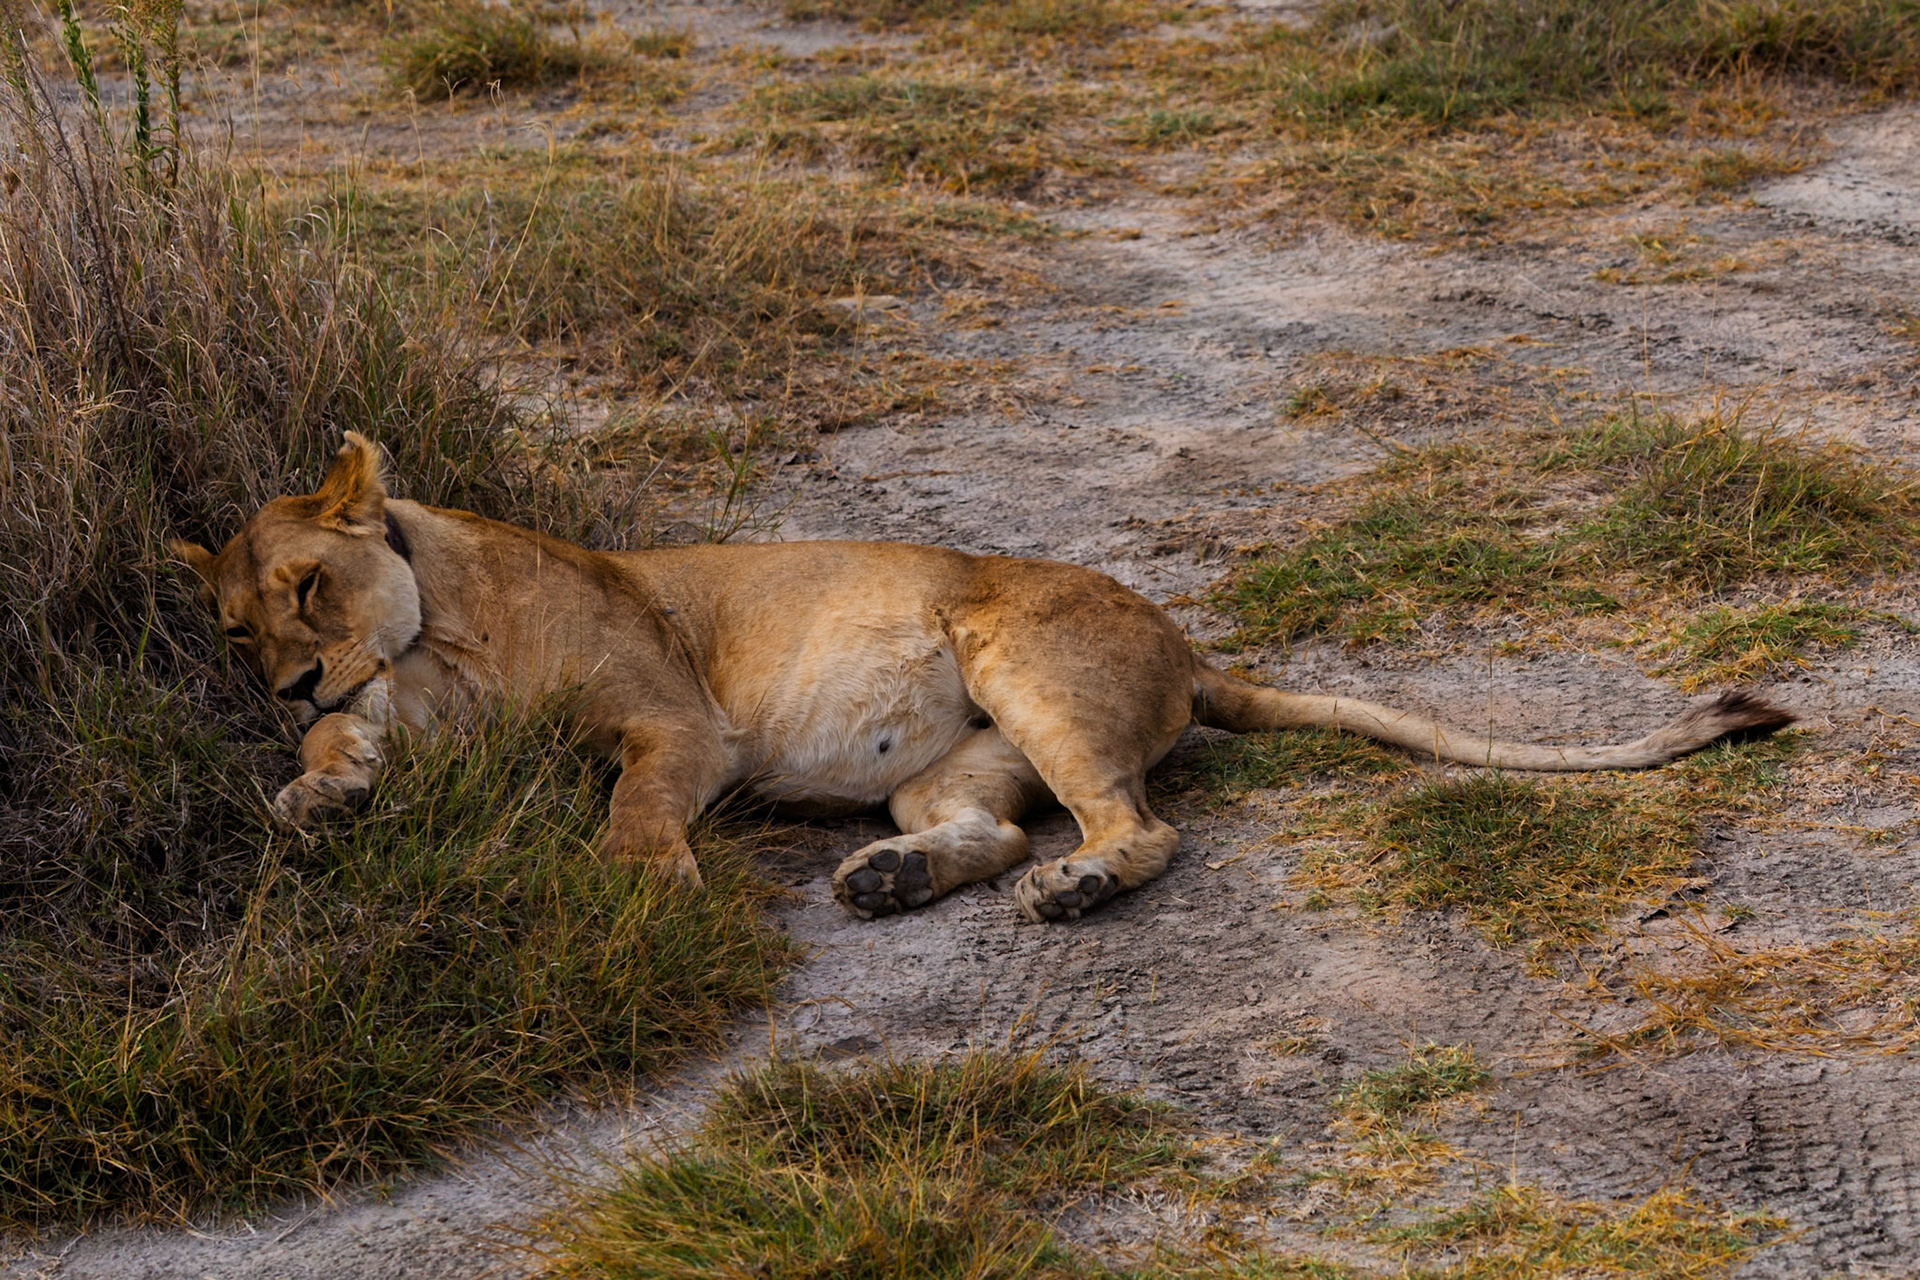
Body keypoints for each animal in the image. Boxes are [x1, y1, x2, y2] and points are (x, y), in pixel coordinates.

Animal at [172, 433, 1793, 923]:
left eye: (308, 587)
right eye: (237, 631)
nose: (289, 684)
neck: (433, 639)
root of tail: (1190, 648)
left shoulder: (675, 716)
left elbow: (634, 795)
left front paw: (646, 877)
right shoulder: (383, 721)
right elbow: (332, 772)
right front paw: (308, 798)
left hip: (1023, 663)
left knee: (1140, 829)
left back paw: (1074, 891)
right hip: (952, 764)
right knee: (997, 829)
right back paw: (897, 883)